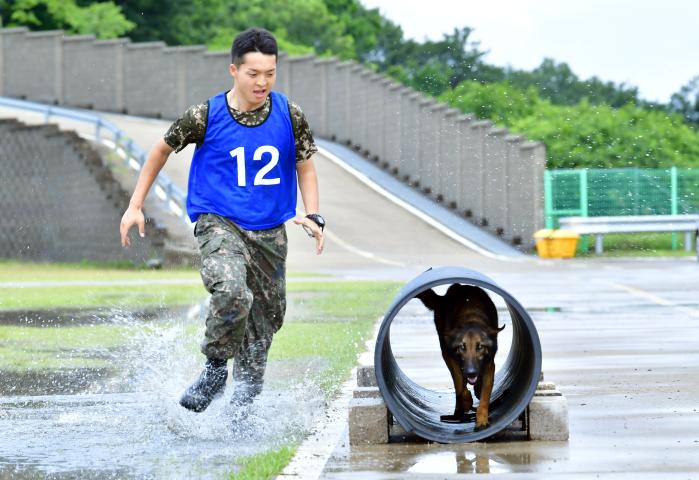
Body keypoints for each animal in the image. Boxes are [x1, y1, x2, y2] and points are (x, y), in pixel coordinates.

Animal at [418, 284, 506, 430]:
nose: (471, 372)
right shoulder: (451, 358)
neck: (471, 317)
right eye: (462, 347)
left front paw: (482, 419)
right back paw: (459, 411)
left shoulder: (489, 364)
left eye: (480, 346)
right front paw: (466, 400)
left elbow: (485, 395)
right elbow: (459, 383)